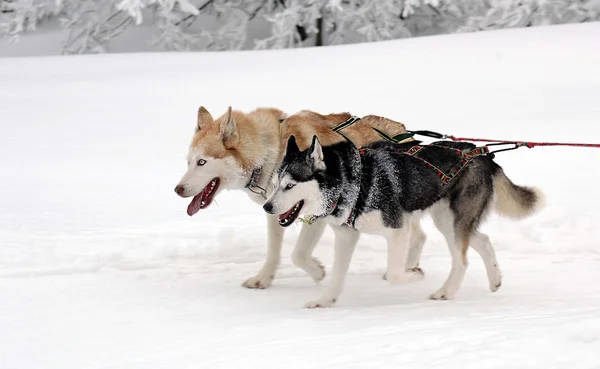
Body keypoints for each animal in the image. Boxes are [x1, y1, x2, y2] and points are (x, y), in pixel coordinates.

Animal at [262, 134, 544, 306]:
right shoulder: (346, 235)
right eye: (276, 184)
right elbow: (337, 275)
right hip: (447, 219)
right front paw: (325, 300)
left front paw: (414, 274)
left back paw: (446, 291)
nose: (267, 206)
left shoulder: (398, 229)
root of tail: (482, 154)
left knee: (462, 261)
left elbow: (396, 274)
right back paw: (494, 279)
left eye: (290, 185)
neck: (356, 182)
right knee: (484, 241)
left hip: (452, 221)